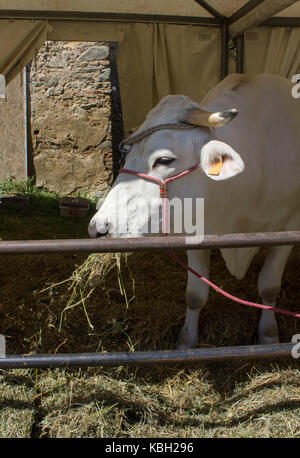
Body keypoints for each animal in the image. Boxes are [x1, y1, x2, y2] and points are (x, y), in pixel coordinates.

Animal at [89, 74, 300, 348]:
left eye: (164, 160)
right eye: (128, 153)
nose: (99, 227)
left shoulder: (289, 228)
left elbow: (269, 287)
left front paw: (269, 334)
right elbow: (195, 295)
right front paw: (186, 341)